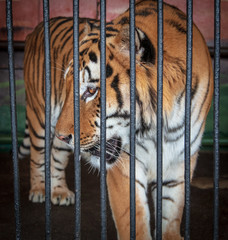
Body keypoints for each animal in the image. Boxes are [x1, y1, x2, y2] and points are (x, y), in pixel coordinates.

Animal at [19, 15, 98, 205]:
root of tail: (34, 30)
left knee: (57, 155)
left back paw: (59, 191)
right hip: (40, 117)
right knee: (37, 156)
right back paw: (39, 189)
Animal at [55, 0, 214, 239]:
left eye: (91, 90)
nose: (61, 136)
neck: (158, 125)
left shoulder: (180, 158)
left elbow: (171, 213)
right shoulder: (126, 165)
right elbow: (133, 220)